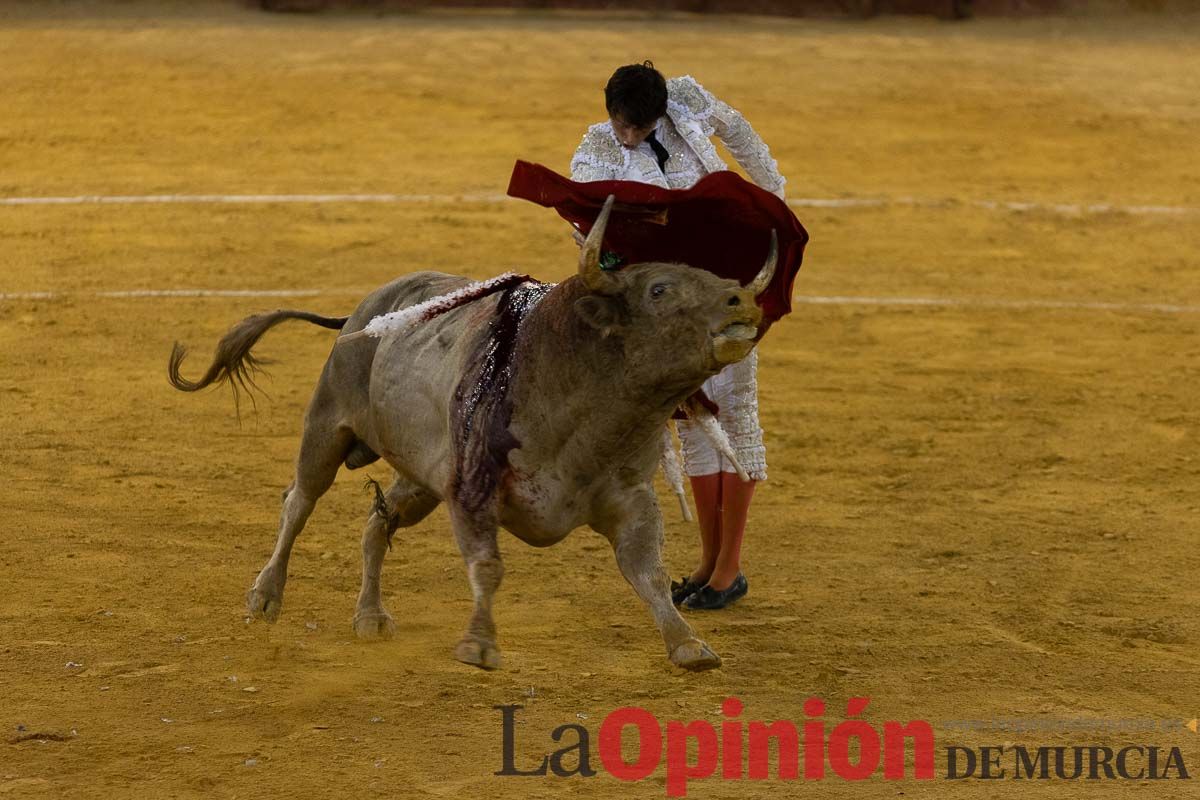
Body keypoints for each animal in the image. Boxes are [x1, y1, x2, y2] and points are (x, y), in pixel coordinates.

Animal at [166, 196, 777, 671]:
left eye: (713, 278)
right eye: (659, 289)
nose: (742, 300)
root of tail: (361, 315)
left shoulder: (631, 499)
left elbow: (647, 572)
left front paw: (689, 645)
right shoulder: (472, 491)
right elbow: (488, 565)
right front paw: (479, 647)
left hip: (419, 479)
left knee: (375, 524)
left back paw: (370, 615)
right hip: (327, 425)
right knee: (299, 500)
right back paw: (265, 595)